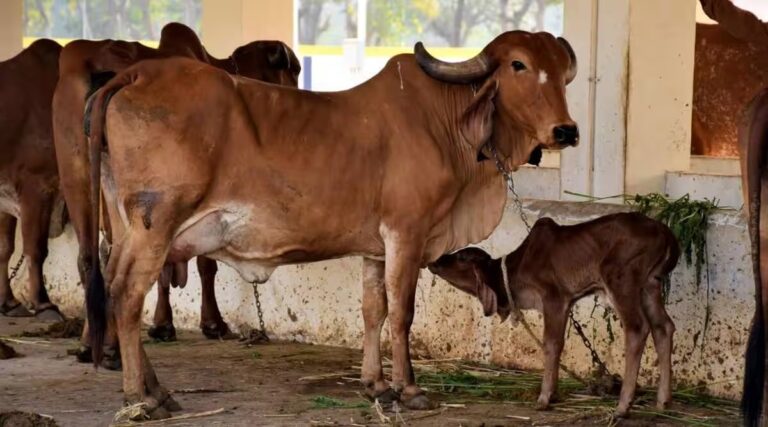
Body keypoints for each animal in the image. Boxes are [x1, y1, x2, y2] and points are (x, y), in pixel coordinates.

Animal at [52, 22, 300, 366]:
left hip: (77, 175)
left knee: (91, 259)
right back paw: (113, 348)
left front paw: (162, 324)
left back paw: (93, 344)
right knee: (114, 264)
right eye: (294, 71)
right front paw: (209, 322)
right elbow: (203, 265)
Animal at [83, 30, 578, 419]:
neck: (445, 123)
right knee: (128, 294)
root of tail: (136, 75)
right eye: (518, 64)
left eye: (562, 72)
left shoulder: (376, 247)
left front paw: (376, 384)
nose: (566, 131)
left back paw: (157, 391)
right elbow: (402, 313)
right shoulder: (406, 234)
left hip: (127, 226)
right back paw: (139, 397)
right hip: (156, 223)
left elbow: (373, 311)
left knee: (114, 284)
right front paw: (410, 389)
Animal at [428, 212, 679, 417]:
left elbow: (551, 343)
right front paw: (554, 394)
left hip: (621, 279)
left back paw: (623, 405)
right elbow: (558, 344)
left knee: (637, 328)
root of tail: (665, 232)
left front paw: (544, 398)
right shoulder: (566, 302)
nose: (436, 259)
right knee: (663, 326)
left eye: (462, 258)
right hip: (650, 285)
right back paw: (663, 402)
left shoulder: (554, 297)